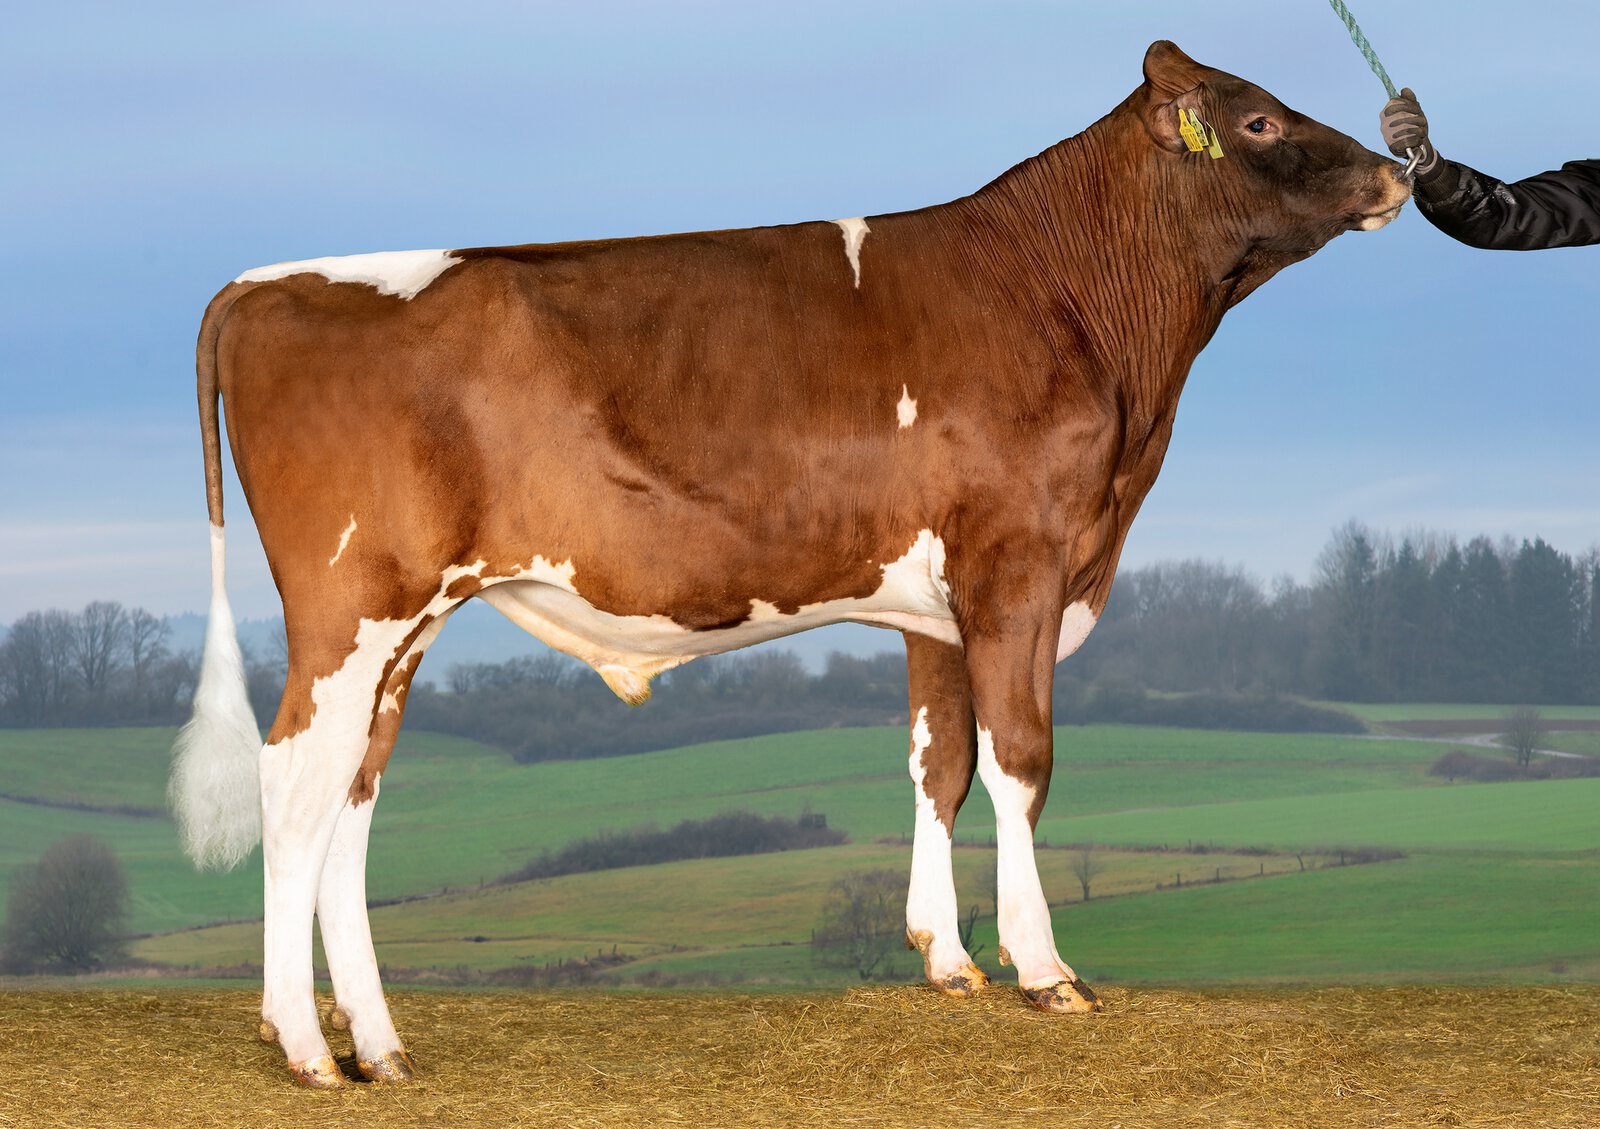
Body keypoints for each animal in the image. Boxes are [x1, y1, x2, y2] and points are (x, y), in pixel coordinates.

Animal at [170, 41, 1409, 1087]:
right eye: (1257, 118)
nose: (1397, 170)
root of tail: (266, 281)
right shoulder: (1020, 561)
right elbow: (1020, 760)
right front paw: (1043, 970)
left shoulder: (935, 606)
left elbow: (937, 764)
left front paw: (946, 960)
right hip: (351, 607)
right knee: (292, 781)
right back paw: (304, 1046)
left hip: (407, 624)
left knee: (354, 792)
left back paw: (375, 1043)